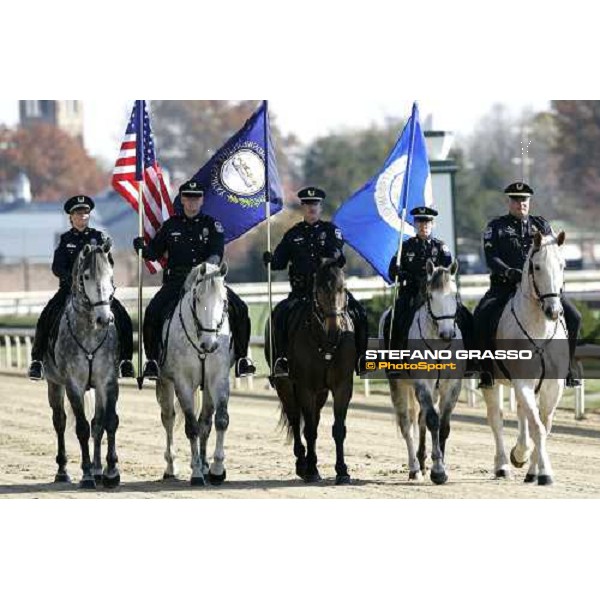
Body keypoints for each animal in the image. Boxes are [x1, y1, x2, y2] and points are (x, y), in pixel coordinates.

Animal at [43, 241, 122, 490]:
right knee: (60, 422)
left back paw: (98, 470)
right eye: (86, 276)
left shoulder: (107, 382)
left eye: (111, 275)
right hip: (54, 384)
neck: (89, 330)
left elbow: (109, 422)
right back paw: (63, 471)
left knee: (98, 423)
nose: (104, 319)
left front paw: (111, 472)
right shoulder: (73, 385)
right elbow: (81, 428)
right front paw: (86, 475)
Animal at [155, 262, 232, 488]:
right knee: (169, 419)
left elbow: (220, 421)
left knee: (205, 422)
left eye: (224, 299)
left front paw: (216, 469)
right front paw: (197, 473)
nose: (210, 344)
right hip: (165, 383)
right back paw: (172, 467)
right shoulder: (183, 383)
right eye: (197, 298)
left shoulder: (218, 380)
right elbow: (191, 427)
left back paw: (205, 466)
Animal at [380, 260, 464, 486]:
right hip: (398, 385)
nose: (447, 334)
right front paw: (438, 471)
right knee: (407, 425)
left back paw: (422, 462)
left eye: (454, 294)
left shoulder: (452, 385)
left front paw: (440, 466)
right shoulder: (422, 384)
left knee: (420, 419)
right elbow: (433, 421)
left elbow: (443, 425)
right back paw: (414, 469)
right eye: (431, 296)